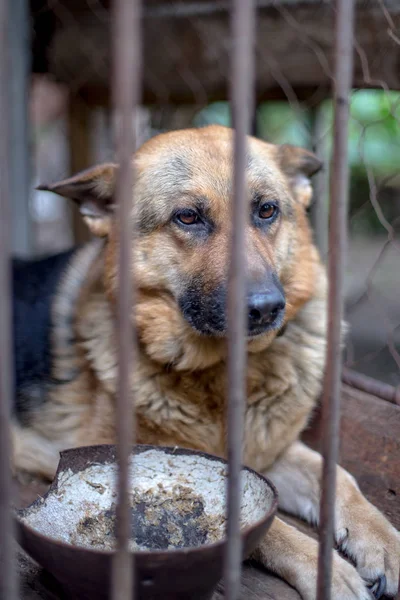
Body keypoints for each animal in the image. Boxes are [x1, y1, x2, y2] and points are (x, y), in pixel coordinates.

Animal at [10, 124, 398, 596]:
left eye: (266, 210)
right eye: (188, 217)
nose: (266, 309)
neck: (219, 375)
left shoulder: (273, 451)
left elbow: (341, 479)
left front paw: (383, 542)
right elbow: (265, 524)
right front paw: (329, 572)